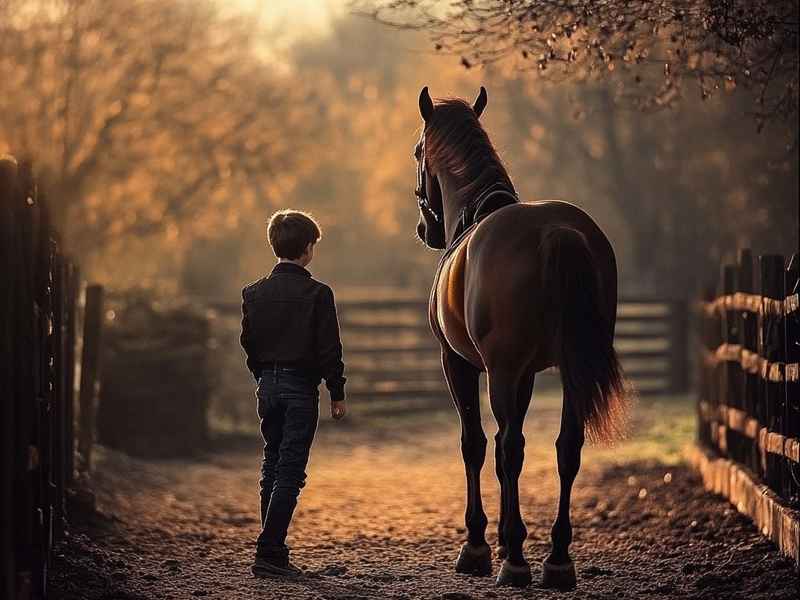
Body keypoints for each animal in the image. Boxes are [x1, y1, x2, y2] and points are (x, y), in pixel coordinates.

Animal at [413, 86, 629, 589]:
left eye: (417, 152)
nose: (425, 229)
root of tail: (558, 231)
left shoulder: (463, 365)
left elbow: (476, 444)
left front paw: (478, 546)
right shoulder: (526, 374)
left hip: (502, 370)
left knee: (511, 449)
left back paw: (514, 559)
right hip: (572, 368)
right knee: (567, 447)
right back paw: (558, 559)